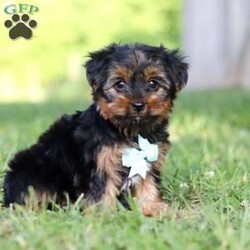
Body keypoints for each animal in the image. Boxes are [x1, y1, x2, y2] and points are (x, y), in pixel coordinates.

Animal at [3, 44, 188, 216]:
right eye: (120, 84)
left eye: (153, 83)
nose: (138, 105)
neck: (129, 131)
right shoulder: (100, 162)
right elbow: (101, 191)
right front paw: (104, 215)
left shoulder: (149, 159)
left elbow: (148, 183)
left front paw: (153, 207)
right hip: (32, 171)